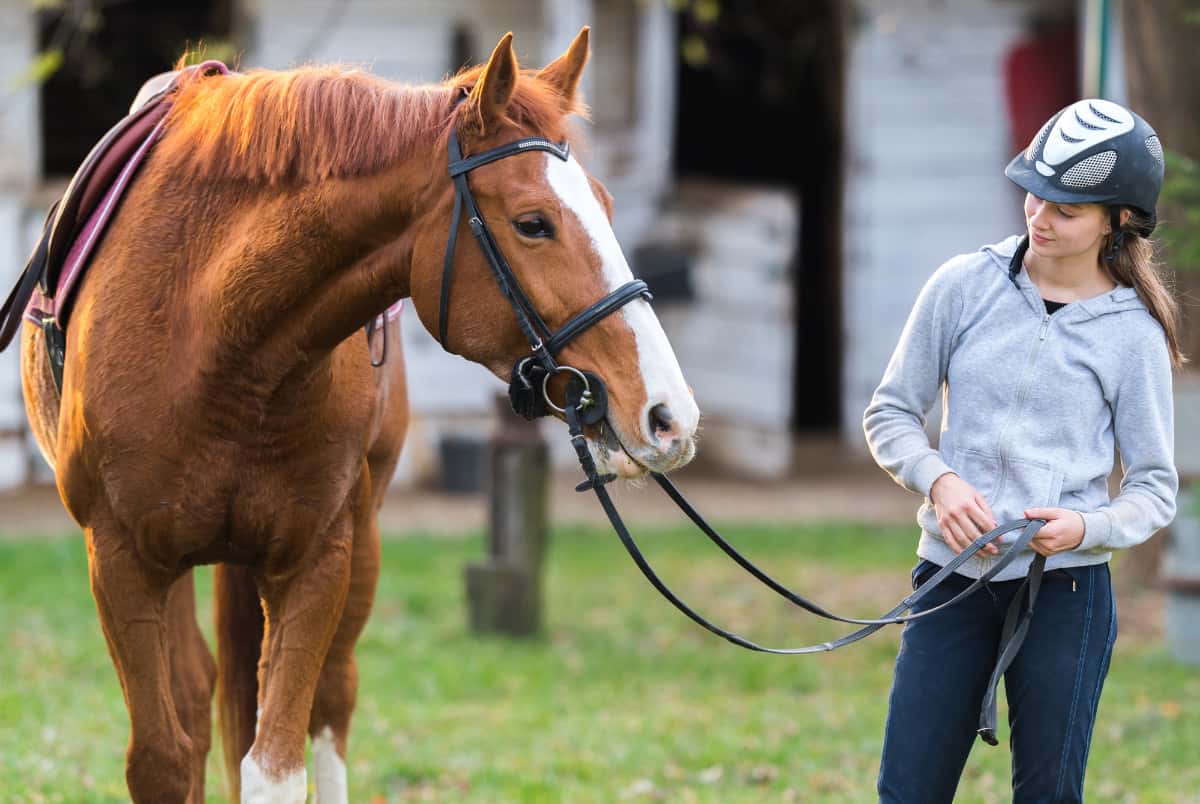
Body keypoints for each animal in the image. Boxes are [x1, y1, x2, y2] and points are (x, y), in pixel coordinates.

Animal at [18, 26, 700, 804]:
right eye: (534, 224)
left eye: (608, 206)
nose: (669, 416)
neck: (218, 341)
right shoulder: (122, 562)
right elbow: (163, 761)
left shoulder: (316, 560)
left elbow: (278, 765)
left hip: (359, 545)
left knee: (332, 699)